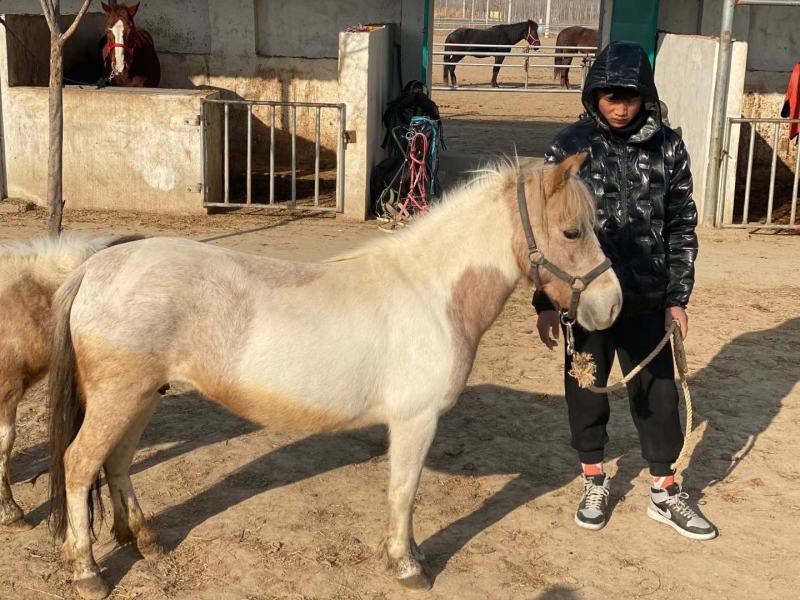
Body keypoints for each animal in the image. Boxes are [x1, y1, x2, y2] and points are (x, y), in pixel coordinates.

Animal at [47, 154, 621, 600]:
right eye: (572, 231)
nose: (612, 306)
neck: (432, 293)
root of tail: (94, 268)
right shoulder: (415, 422)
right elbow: (403, 491)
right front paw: (407, 564)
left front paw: (407, 555)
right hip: (120, 397)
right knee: (80, 464)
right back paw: (87, 571)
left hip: (142, 396)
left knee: (117, 462)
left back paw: (143, 540)